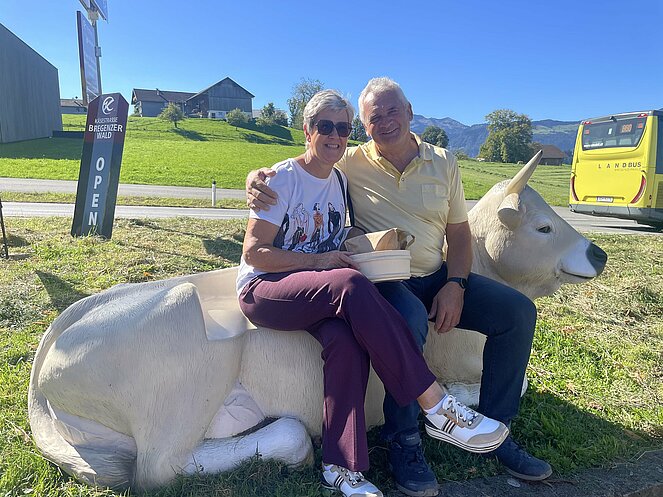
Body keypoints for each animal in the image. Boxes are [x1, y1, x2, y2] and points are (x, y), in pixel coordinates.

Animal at [28, 152, 607, 490]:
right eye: (543, 226)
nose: (599, 254)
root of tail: (58, 336)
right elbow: (509, 383)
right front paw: (461, 405)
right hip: (185, 369)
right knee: (156, 469)